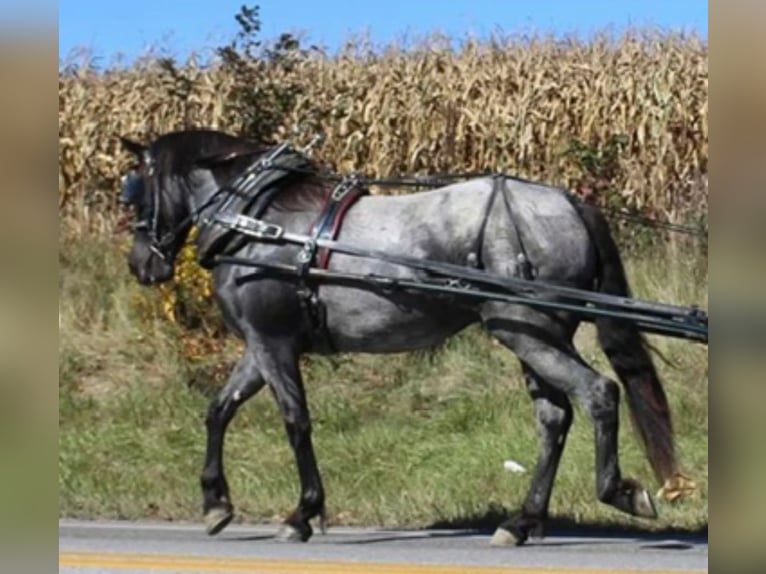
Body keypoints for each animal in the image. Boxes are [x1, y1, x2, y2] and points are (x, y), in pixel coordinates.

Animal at [116, 128, 694, 546]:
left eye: (134, 189)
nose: (142, 264)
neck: (259, 222)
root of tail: (569, 202)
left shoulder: (272, 342)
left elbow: (295, 421)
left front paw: (302, 513)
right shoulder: (262, 346)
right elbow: (220, 409)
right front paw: (216, 503)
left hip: (526, 331)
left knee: (598, 394)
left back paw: (617, 491)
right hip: (536, 333)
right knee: (554, 418)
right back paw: (522, 522)